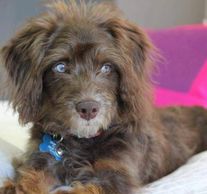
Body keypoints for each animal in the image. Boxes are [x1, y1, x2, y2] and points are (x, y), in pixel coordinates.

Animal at [0, 0, 207, 193]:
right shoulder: (41, 162)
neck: (82, 141)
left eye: (107, 67)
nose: (88, 109)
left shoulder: (115, 177)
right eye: (60, 67)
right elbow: (25, 181)